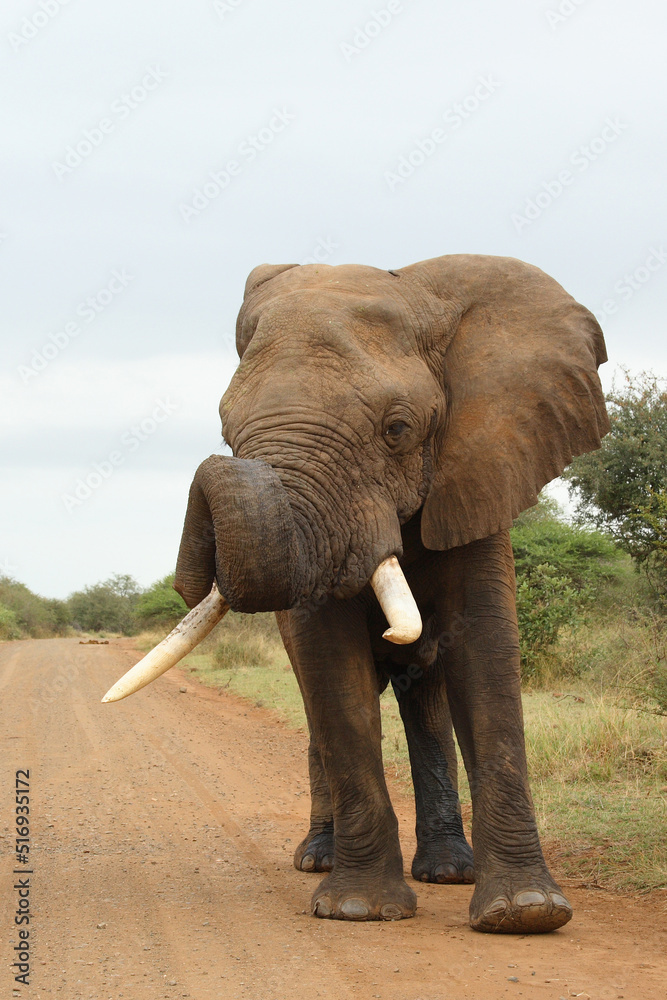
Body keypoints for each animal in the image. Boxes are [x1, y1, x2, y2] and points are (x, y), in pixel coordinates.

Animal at [105, 254, 609, 932]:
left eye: (397, 429)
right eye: (226, 431)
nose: (213, 472)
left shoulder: (478, 470)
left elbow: (484, 652)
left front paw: (526, 913)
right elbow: (332, 670)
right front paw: (358, 909)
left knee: (427, 699)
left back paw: (449, 870)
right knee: (318, 703)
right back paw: (320, 858)